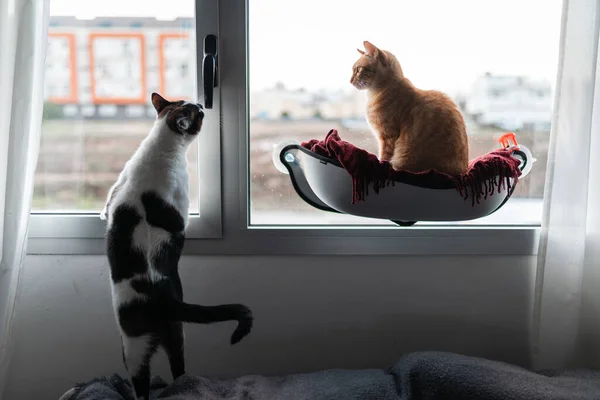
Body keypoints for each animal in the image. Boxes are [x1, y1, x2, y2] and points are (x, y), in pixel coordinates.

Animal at [101, 93, 253, 400]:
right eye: (198, 113)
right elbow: (182, 222)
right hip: (159, 340)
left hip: (146, 342)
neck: (160, 148)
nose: (202, 104)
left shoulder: (118, 187)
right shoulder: (180, 209)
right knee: (170, 375)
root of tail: (161, 298)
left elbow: (108, 202)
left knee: (158, 378)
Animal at [352, 40, 468, 177]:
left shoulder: (387, 137)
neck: (376, 92)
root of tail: (462, 172)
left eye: (358, 69)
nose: (350, 81)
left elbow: (384, 158)